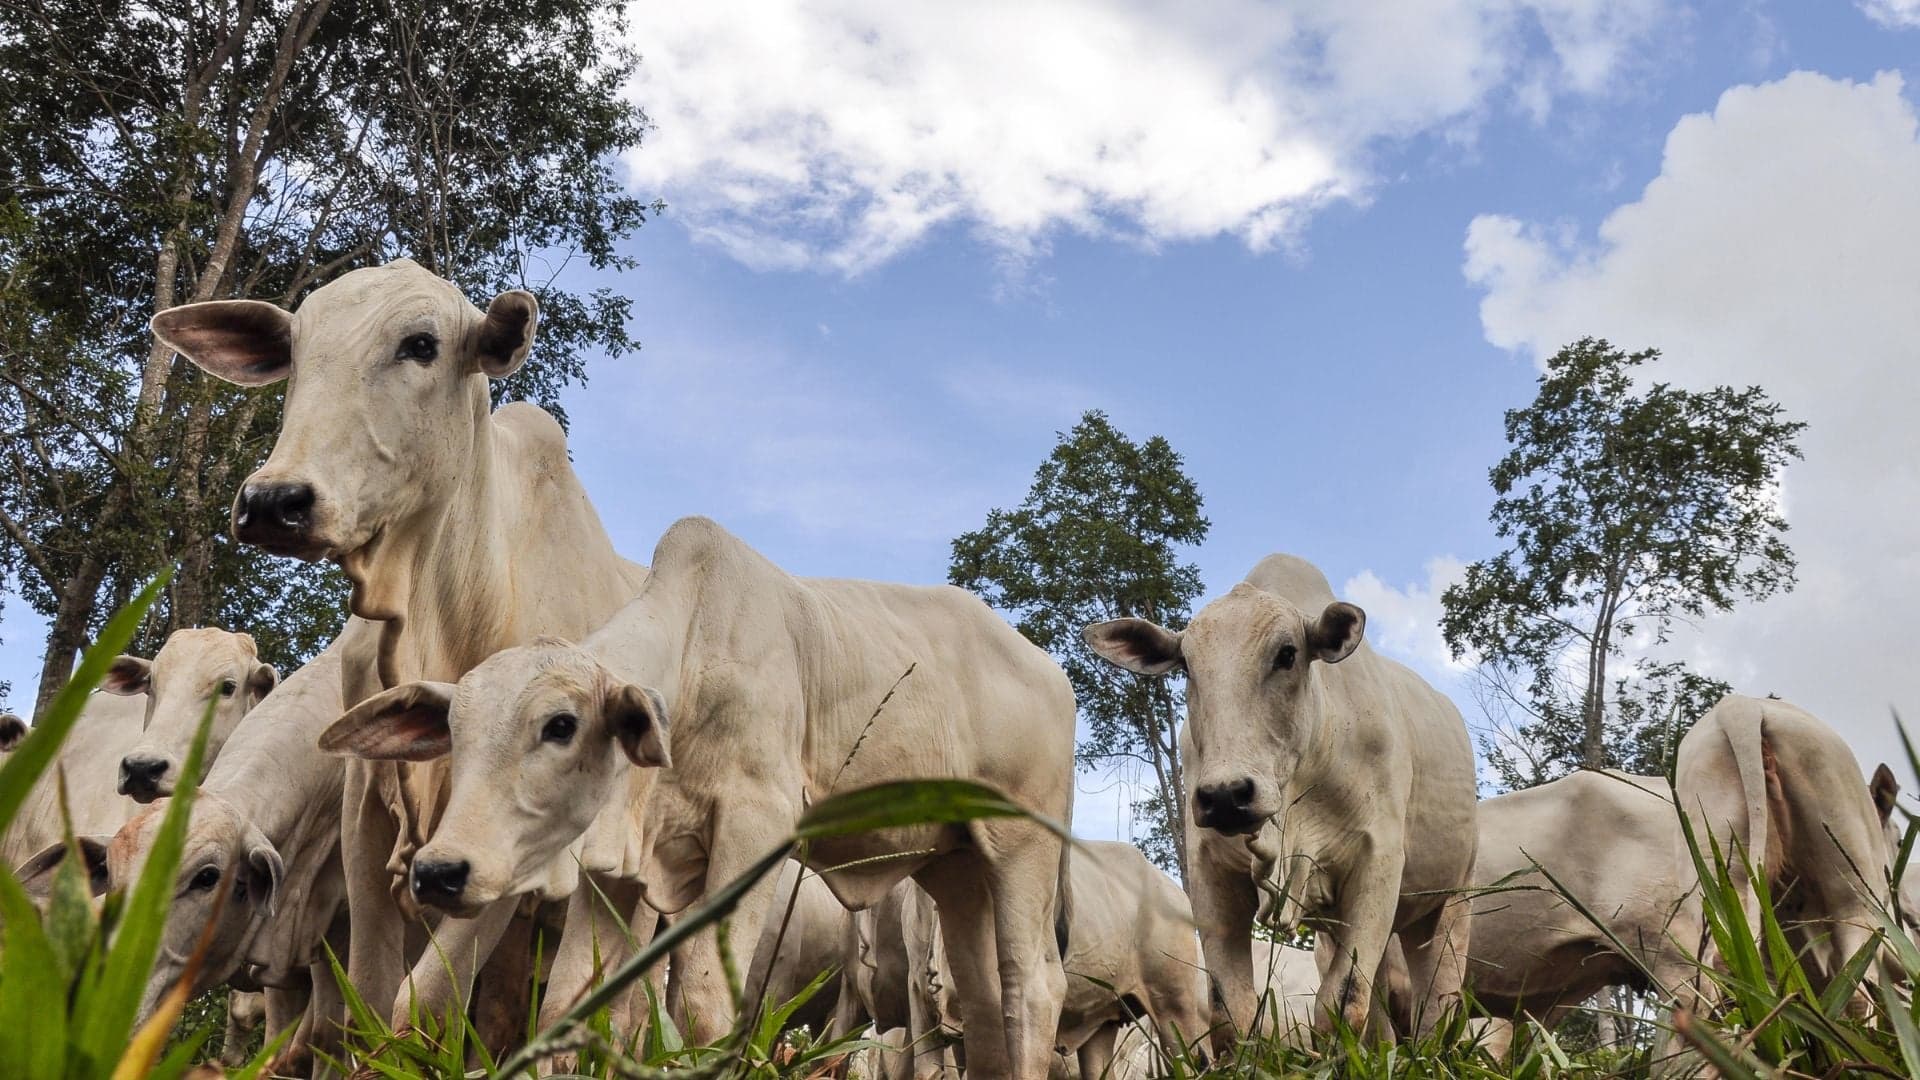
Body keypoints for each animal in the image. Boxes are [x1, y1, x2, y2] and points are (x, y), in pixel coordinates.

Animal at [153, 258, 651, 1039]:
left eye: (421, 345)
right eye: (295, 350)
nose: (274, 501)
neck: (447, 614)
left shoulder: (511, 851)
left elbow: (423, 1003)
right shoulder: (364, 817)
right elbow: (361, 1000)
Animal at [320, 516, 1077, 1078]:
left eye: (560, 725)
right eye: (453, 729)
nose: (439, 871)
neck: (691, 662)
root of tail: (1049, 669)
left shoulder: (757, 827)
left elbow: (706, 1001)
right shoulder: (622, 865)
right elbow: (572, 1003)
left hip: (1023, 843)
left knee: (1035, 987)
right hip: (956, 866)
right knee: (985, 999)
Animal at [1085, 553, 1478, 1047]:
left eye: (1287, 654)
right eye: (1187, 666)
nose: (1226, 796)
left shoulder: (1380, 863)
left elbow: (1341, 1003)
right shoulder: (1209, 872)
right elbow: (1230, 1013)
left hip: (1451, 901)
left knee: (1438, 1003)